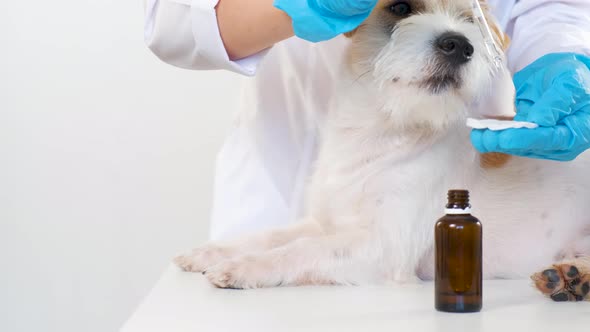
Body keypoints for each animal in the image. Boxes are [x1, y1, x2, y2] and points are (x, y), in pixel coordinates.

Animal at [176, 0, 590, 300]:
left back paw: (573, 278)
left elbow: (300, 250)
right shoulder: (325, 223)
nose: (460, 44)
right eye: (401, 8)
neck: (378, 134)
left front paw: (245, 267)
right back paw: (568, 277)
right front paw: (212, 252)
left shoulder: (382, 247)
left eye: (469, 19)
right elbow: (272, 235)